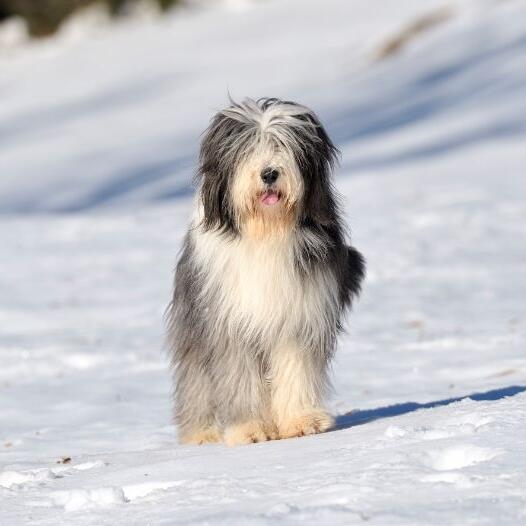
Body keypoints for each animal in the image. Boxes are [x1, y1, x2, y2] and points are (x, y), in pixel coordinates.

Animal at [167, 98, 366, 446]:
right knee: (196, 380)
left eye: (283, 145)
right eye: (248, 147)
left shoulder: (301, 315)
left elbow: (297, 367)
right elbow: (238, 376)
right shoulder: (228, 322)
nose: (270, 173)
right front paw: (250, 429)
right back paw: (201, 433)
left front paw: (302, 421)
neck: (266, 233)